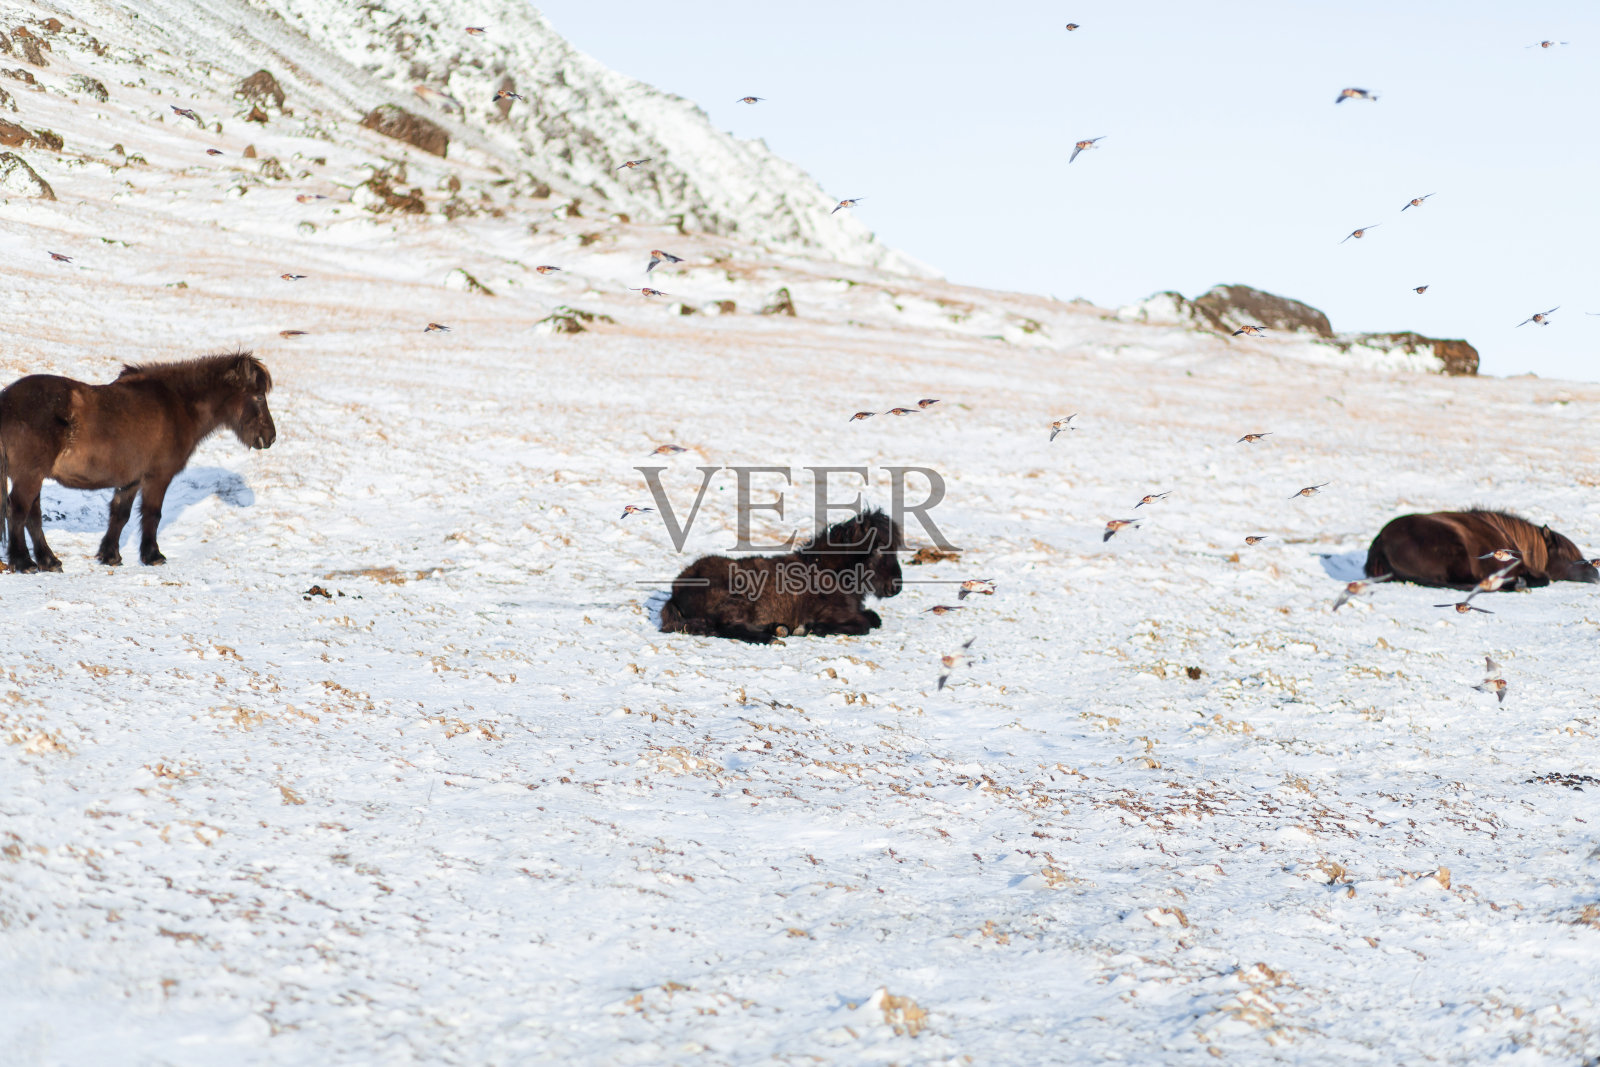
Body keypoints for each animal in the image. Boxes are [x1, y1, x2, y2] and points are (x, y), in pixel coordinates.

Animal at [1, 351, 276, 572]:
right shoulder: (158, 477)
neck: (177, 404)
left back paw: (49, 561)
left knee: (33, 517)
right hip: (29, 477)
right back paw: (23, 562)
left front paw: (110, 556)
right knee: (18, 512)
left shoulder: (131, 481)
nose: (270, 437)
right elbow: (152, 514)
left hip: (35, 477)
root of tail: (7, 403)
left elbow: (119, 514)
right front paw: (153, 556)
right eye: (259, 397)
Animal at [659, 509, 904, 643]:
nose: (896, 587)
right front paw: (812, 628)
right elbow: (865, 624)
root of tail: (676, 590)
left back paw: (778, 629)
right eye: (879, 549)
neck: (830, 570)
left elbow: (873, 618)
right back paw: (771, 637)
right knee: (727, 627)